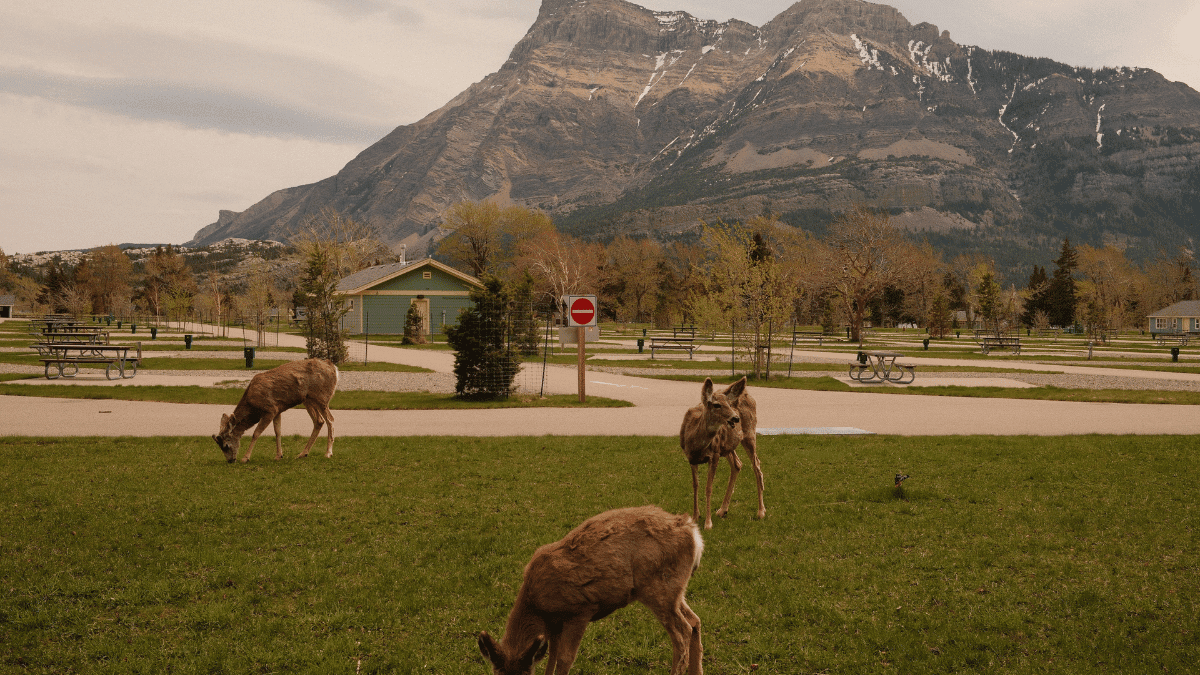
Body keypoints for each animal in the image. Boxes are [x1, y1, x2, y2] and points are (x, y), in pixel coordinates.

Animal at [477, 505, 704, 675]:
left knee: (682, 631)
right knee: (695, 621)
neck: (537, 606)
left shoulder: (580, 610)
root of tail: (693, 532)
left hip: (658, 588)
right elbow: (551, 656)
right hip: (674, 590)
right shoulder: (554, 625)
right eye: (496, 674)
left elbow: (564, 659)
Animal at [679, 377, 764, 530]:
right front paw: (695, 517)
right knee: (738, 464)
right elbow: (695, 485)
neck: (695, 444)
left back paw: (761, 511)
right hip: (727, 445)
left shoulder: (715, 454)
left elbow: (708, 487)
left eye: (729, 404)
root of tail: (748, 394)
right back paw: (722, 510)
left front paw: (708, 523)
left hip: (749, 433)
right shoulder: (691, 458)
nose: (736, 418)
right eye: (716, 405)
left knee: (756, 466)